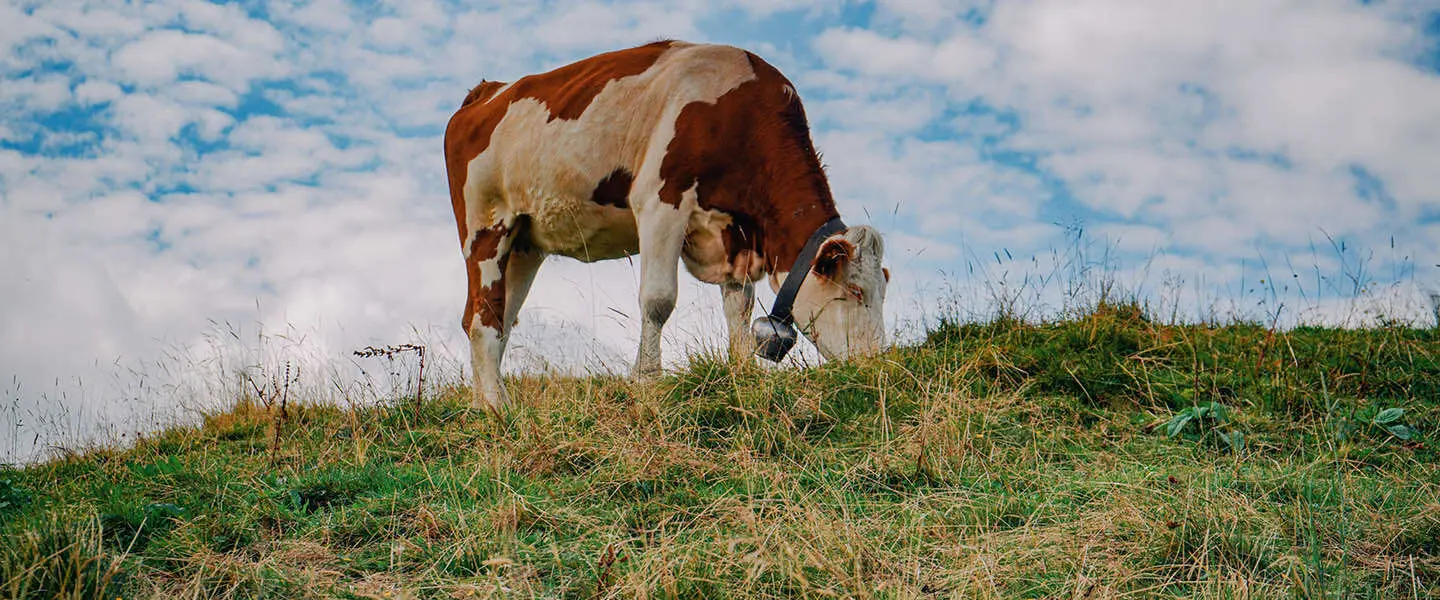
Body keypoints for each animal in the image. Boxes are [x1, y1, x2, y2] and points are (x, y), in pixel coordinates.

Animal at [444, 40, 889, 411]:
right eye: (855, 291)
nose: (877, 365)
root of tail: (488, 91)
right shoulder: (661, 203)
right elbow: (658, 301)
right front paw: (647, 380)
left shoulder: (735, 236)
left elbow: (739, 308)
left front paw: (742, 372)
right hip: (484, 227)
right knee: (481, 317)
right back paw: (496, 409)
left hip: (524, 243)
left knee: (501, 316)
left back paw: (487, 402)